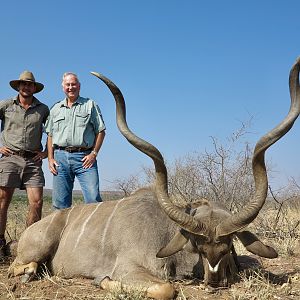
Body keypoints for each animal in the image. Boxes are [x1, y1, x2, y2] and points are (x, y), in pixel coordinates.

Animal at [8, 59, 300, 300]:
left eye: (228, 247)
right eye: (199, 247)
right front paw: (101, 281)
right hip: (38, 246)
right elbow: (165, 287)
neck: (167, 230)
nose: (215, 281)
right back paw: (28, 272)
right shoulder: (129, 267)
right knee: (18, 266)